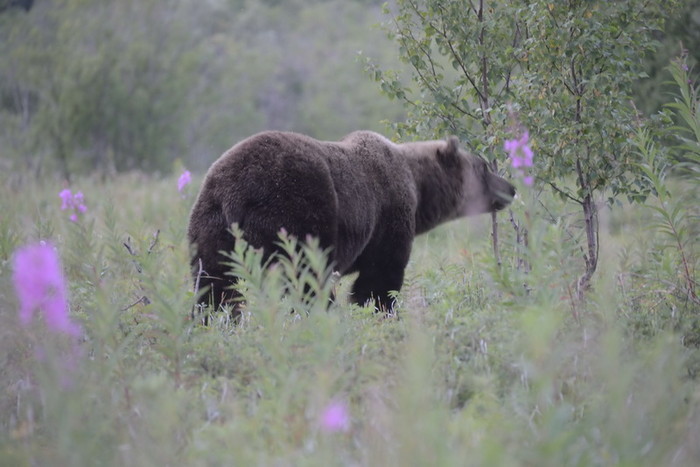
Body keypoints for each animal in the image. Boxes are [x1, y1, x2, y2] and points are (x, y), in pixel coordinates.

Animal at [189, 131, 516, 314]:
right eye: (483, 167)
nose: (511, 187)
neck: (418, 188)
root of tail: (235, 192)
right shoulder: (389, 219)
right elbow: (379, 280)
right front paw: (381, 313)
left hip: (210, 223)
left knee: (214, 284)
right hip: (293, 211)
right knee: (306, 279)